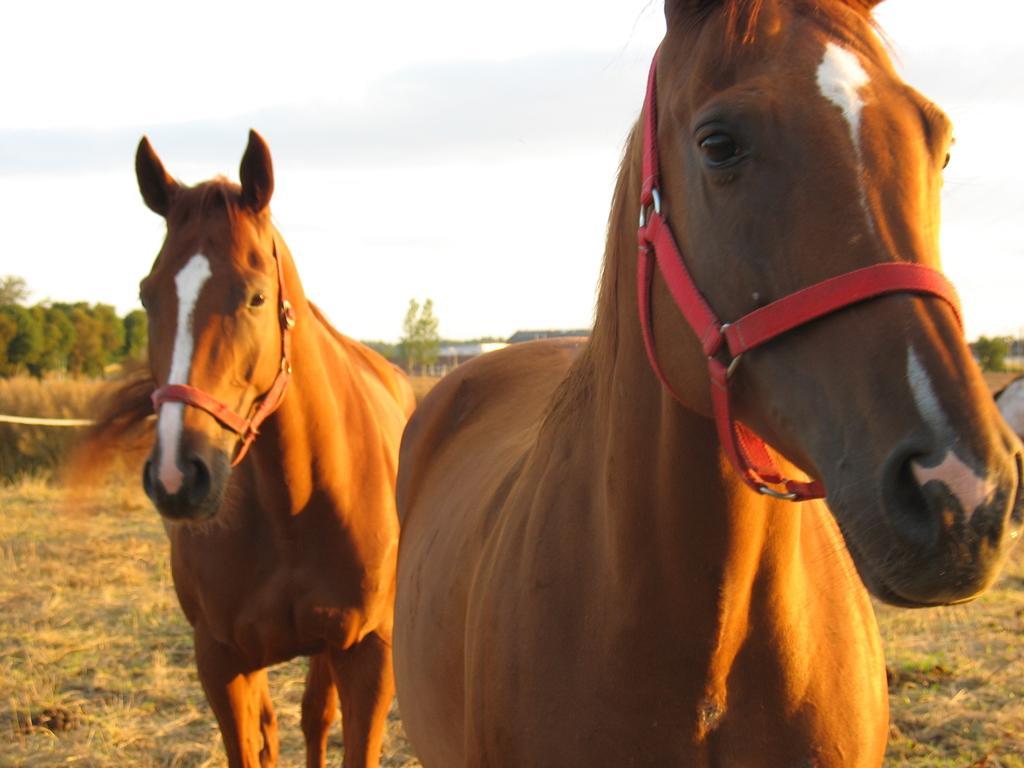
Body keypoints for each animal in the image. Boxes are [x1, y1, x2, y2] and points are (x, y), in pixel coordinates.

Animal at [84, 132, 411, 768]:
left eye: (257, 297)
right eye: (146, 296)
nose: (177, 477)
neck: (295, 501)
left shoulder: (367, 652)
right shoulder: (221, 659)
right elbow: (253, 740)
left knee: (314, 717)